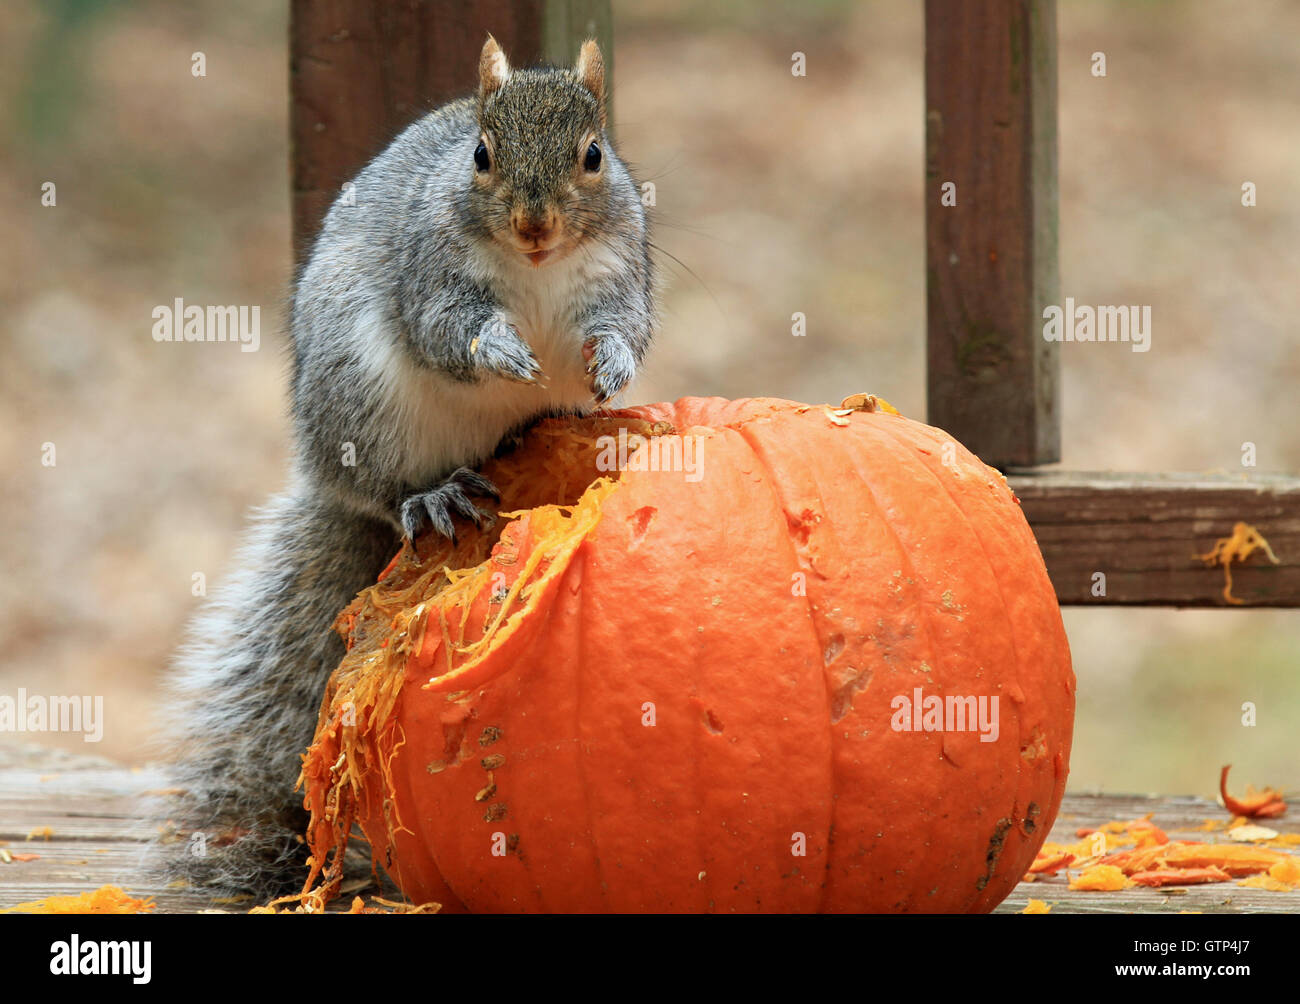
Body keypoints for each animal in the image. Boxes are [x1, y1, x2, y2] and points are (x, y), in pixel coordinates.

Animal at [156, 37, 655, 894]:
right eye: (482, 156)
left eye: (594, 156)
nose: (534, 226)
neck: (537, 271)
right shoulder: (432, 277)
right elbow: (447, 331)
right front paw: (500, 349)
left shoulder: (619, 272)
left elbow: (625, 325)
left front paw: (614, 363)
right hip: (364, 399)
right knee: (385, 490)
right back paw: (429, 500)